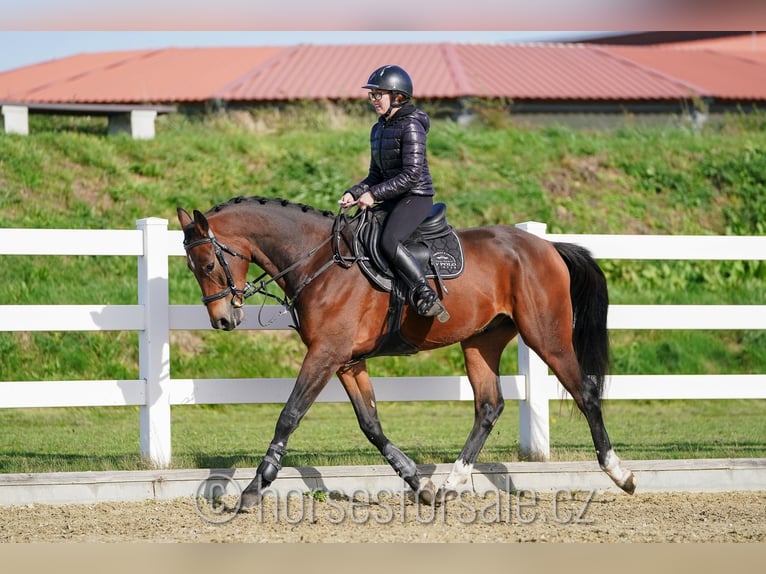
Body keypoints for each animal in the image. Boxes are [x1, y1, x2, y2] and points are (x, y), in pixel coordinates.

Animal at [178, 197, 636, 508]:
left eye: (207, 264)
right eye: (192, 268)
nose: (223, 320)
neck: (321, 262)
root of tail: (547, 247)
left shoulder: (325, 355)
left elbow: (289, 416)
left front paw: (254, 489)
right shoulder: (347, 362)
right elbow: (371, 425)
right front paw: (420, 483)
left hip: (547, 336)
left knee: (585, 393)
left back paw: (621, 474)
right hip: (481, 341)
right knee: (489, 406)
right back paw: (450, 484)